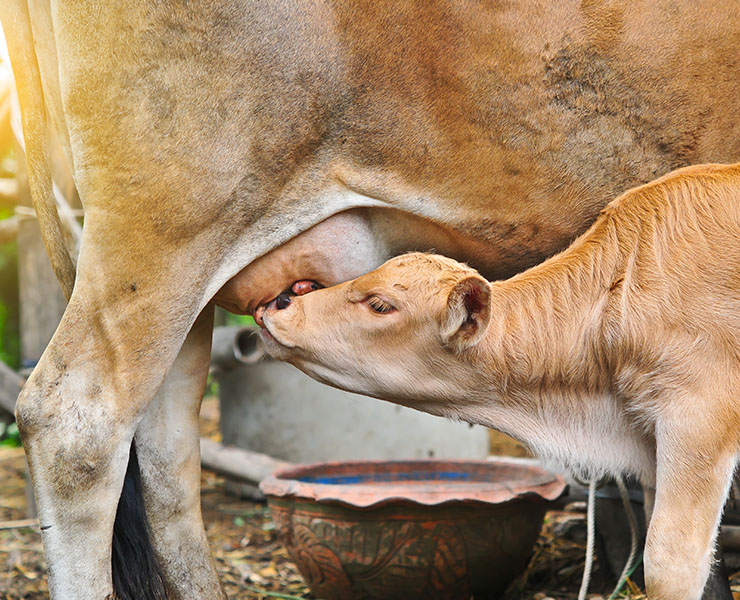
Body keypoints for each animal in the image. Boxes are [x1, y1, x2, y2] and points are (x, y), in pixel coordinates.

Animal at [1, 1, 740, 600]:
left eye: (381, 303)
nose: (285, 306)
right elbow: (673, 555)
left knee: (164, 456)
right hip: (166, 226)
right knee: (77, 423)